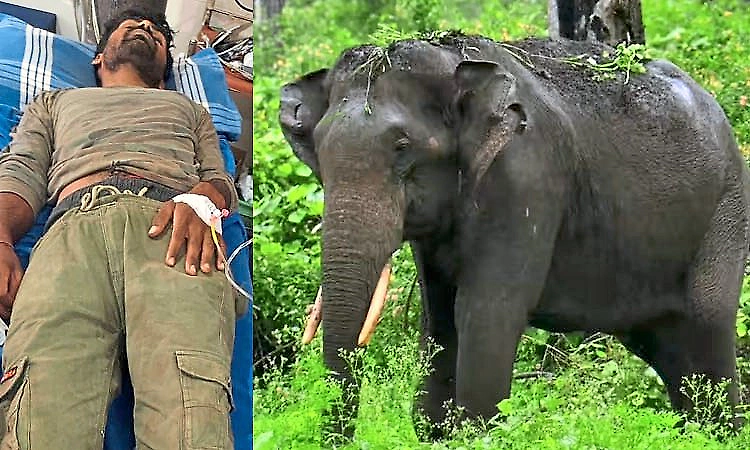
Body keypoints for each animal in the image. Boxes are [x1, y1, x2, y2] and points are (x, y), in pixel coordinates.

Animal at [279, 35, 750, 438]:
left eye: (402, 147)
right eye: (319, 150)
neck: (453, 62)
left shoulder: (525, 178)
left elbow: (486, 314)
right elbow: (439, 318)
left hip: (726, 215)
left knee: (707, 334)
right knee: (672, 354)